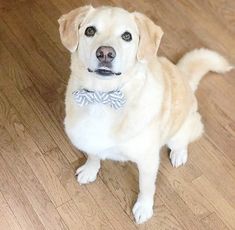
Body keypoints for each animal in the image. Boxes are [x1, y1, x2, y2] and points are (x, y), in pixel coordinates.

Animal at [58, 5, 231, 224]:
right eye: (90, 31)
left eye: (127, 36)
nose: (105, 53)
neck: (103, 97)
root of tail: (184, 77)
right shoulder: (88, 139)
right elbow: (93, 155)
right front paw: (90, 170)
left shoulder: (148, 160)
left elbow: (146, 187)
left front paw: (143, 208)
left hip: (180, 130)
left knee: (183, 140)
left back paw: (179, 154)